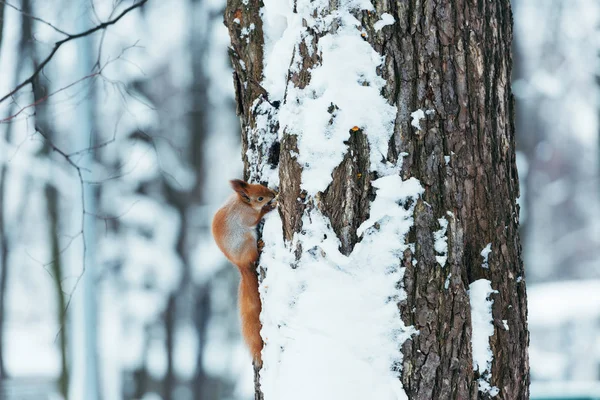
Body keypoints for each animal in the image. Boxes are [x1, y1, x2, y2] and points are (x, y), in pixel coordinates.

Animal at [211, 178, 276, 366]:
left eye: (260, 185)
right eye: (260, 198)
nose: (273, 194)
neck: (243, 203)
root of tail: (240, 264)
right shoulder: (246, 216)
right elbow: (256, 218)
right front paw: (268, 208)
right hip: (247, 241)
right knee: (254, 254)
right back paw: (259, 246)